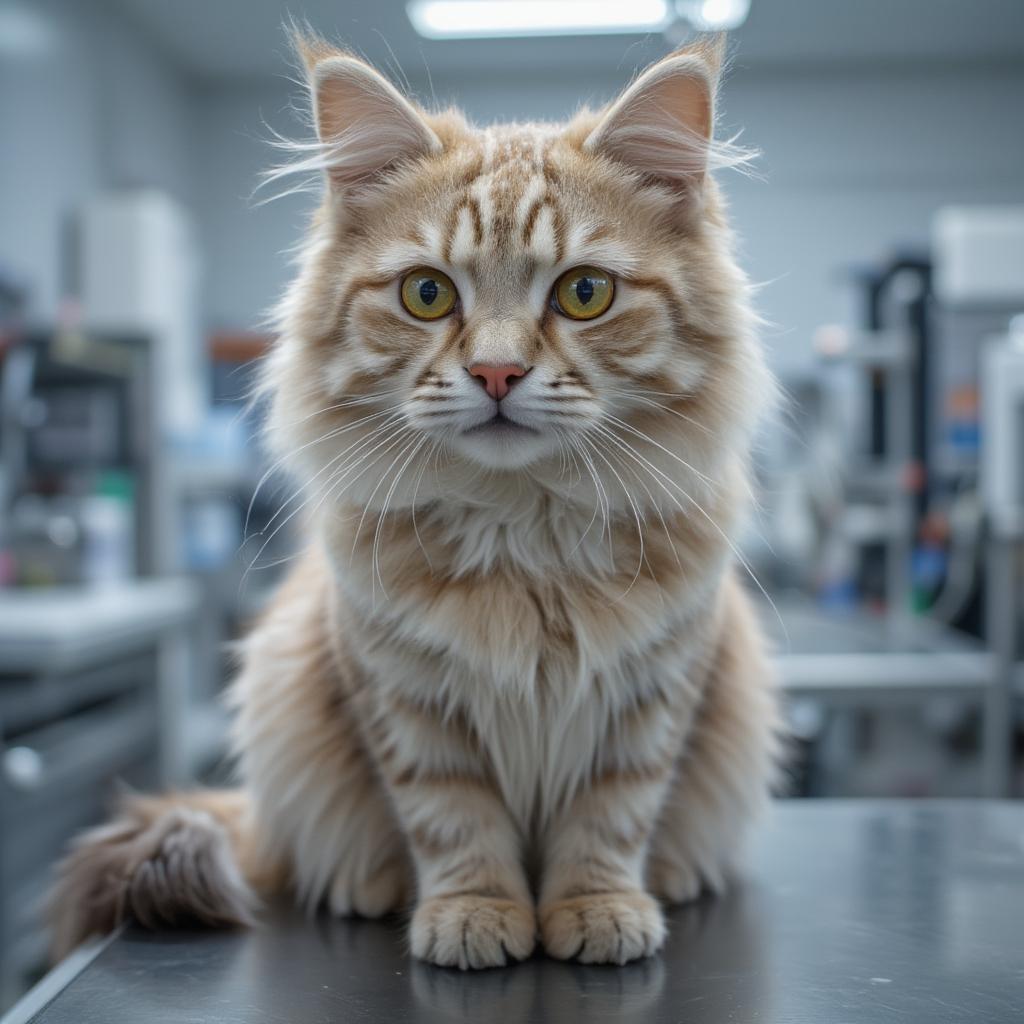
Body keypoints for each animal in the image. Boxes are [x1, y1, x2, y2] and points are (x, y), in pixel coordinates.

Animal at [51, 32, 778, 970]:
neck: (523, 534)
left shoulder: (653, 697)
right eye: (427, 294)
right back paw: (366, 889)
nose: (497, 373)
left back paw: (679, 877)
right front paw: (474, 916)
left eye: (584, 293)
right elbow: (453, 822)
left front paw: (599, 910)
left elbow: (610, 819)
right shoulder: (405, 701)